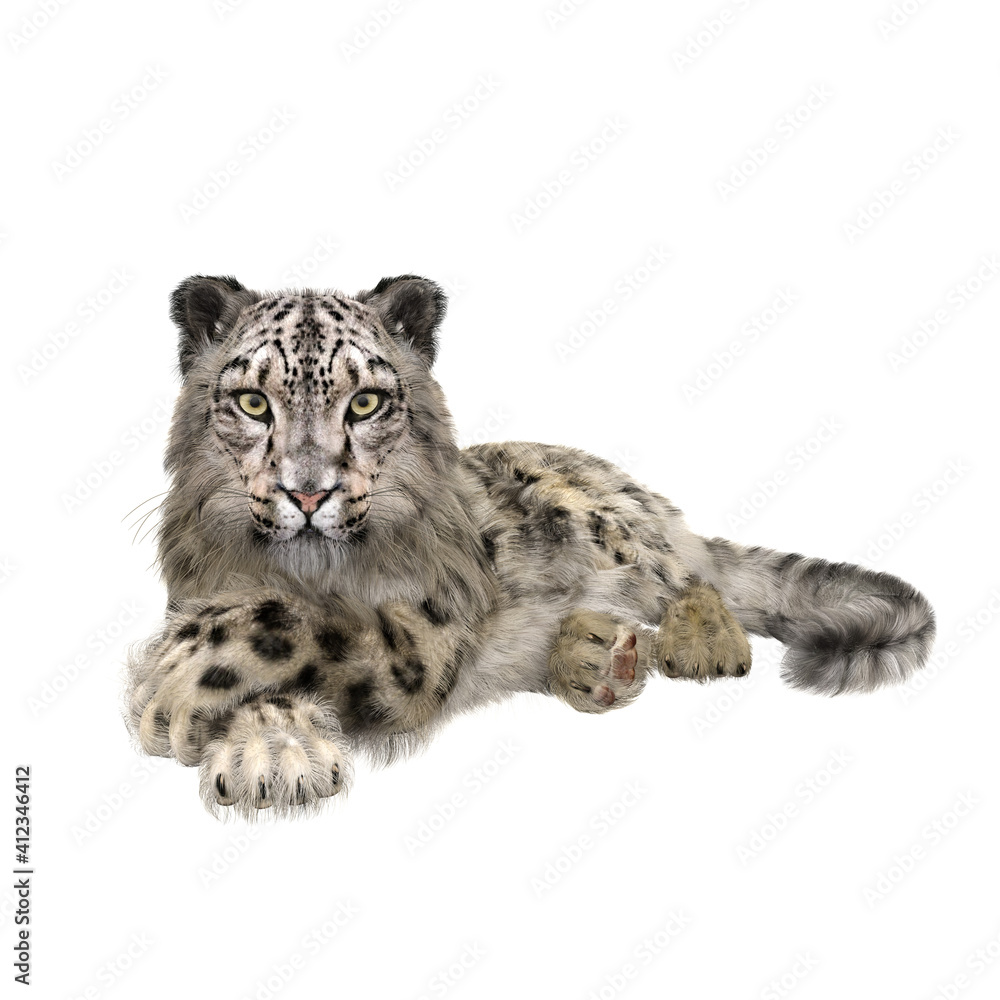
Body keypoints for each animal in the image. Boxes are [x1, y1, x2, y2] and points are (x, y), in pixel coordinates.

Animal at [123, 274, 936, 820]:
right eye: (253, 401)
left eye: (366, 402)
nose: (309, 493)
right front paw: (268, 755)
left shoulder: (421, 630)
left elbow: (292, 624)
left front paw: (165, 688)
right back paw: (595, 656)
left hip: (601, 521)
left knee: (690, 574)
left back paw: (695, 644)